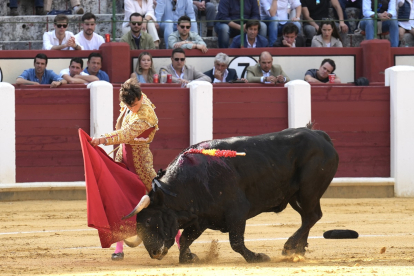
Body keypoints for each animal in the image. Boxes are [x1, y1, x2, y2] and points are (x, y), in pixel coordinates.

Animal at [123, 125, 340, 264]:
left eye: (149, 221)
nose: (154, 252)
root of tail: (319, 135)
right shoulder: (201, 219)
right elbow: (185, 239)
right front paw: (189, 258)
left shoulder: (237, 212)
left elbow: (236, 242)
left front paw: (257, 257)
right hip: (296, 196)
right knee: (307, 218)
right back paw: (298, 250)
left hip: (308, 191)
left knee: (312, 216)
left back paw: (289, 247)